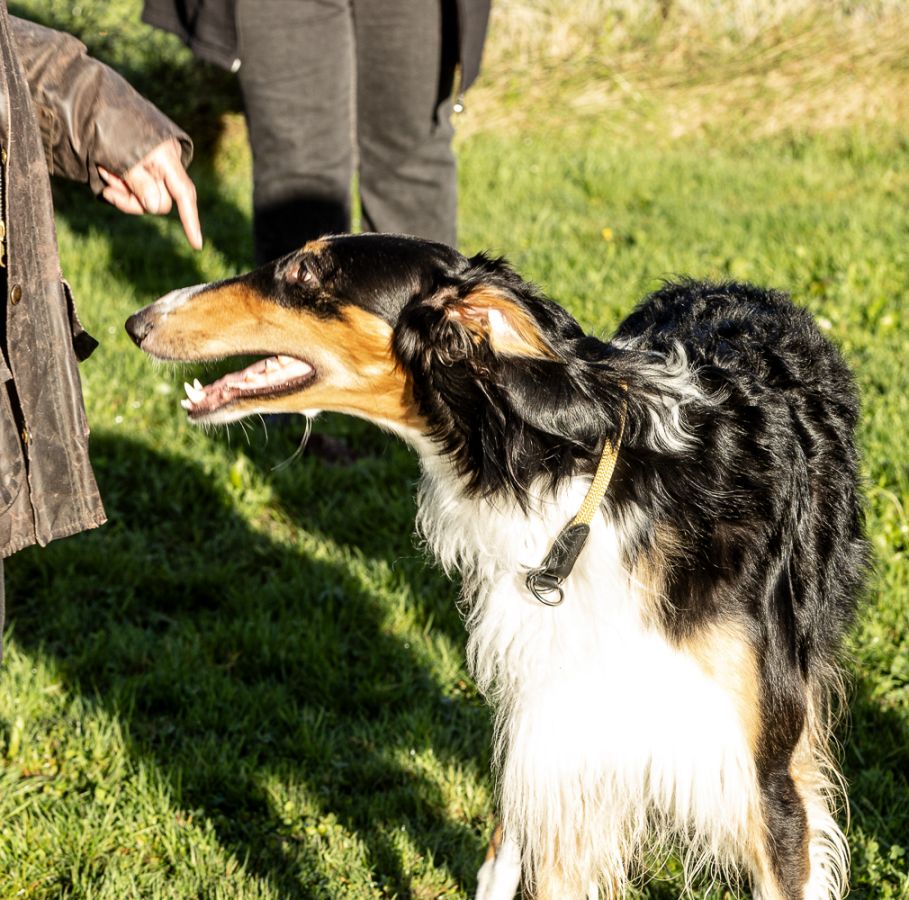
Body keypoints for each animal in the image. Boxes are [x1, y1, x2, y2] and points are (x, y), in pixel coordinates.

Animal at [126, 233, 866, 899]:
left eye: (307, 271)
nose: (137, 321)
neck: (580, 491)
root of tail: (734, 286)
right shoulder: (562, 752)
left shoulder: (763, 782)